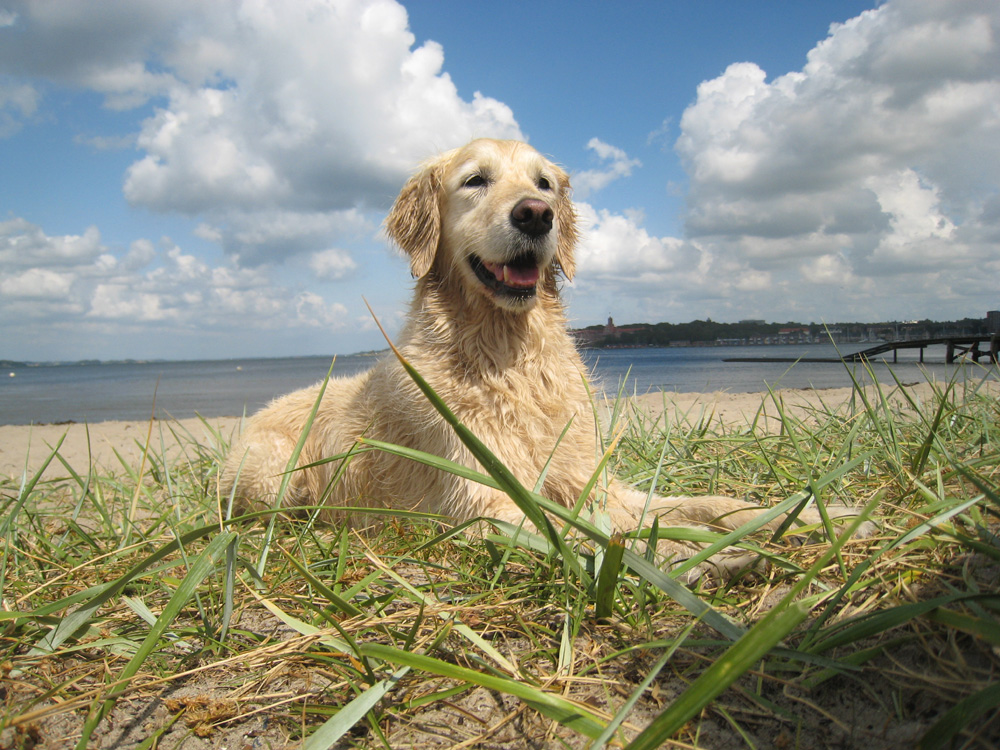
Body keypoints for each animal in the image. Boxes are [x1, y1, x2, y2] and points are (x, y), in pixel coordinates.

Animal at [221, 140, 868, 580]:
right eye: (475, 181)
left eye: (545, 183)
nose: (535, 213)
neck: (510, 356)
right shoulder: (486, 503)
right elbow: (594, 538)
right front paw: (692, 554)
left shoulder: (597, 484)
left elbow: (708, 503)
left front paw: (812, 513)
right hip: (273, 476)